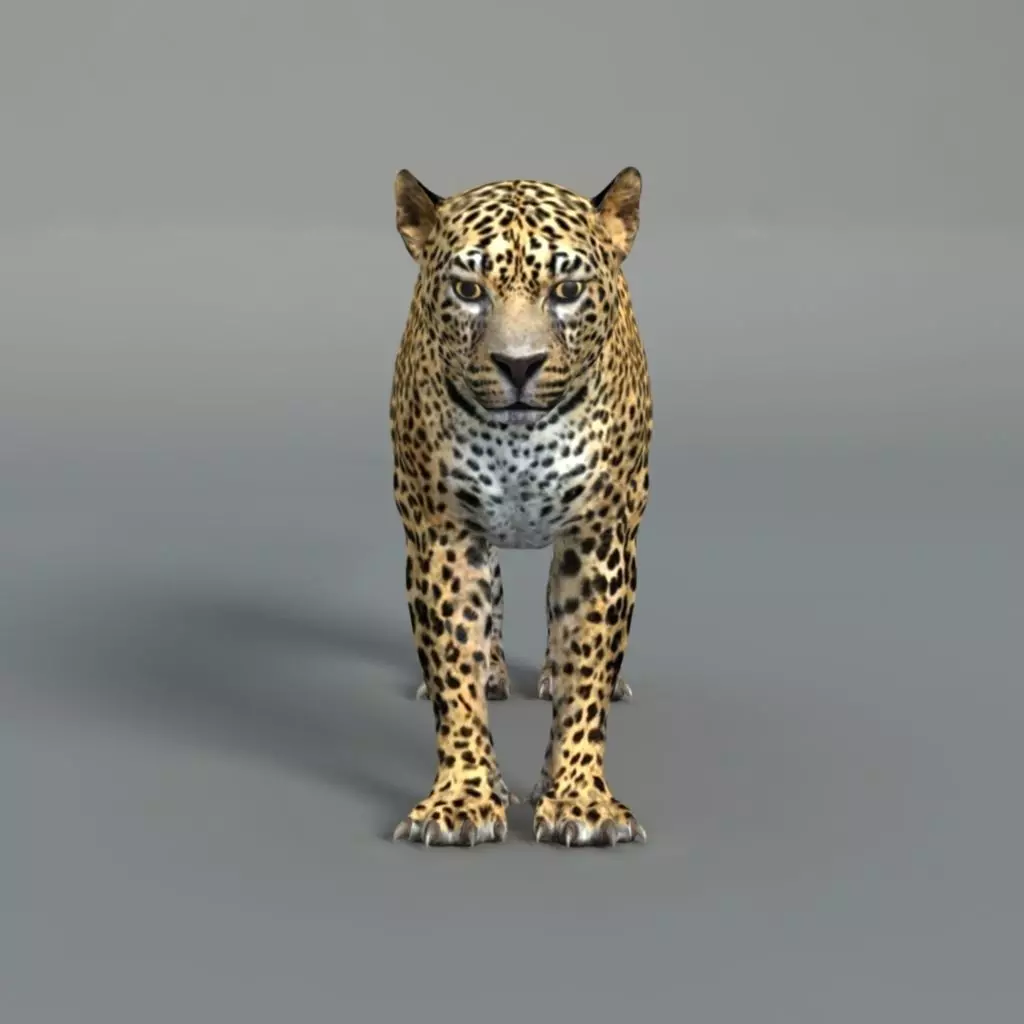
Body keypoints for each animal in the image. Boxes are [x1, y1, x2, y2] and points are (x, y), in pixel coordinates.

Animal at [388, 166, 653, 849]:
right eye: (467, 289)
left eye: (567, 290)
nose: (518, 365)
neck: (520, 440)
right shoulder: (444, 533)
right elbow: (454, 670)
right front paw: (463, 799)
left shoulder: (599, 539)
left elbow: (587, 669)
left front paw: (579, 799)